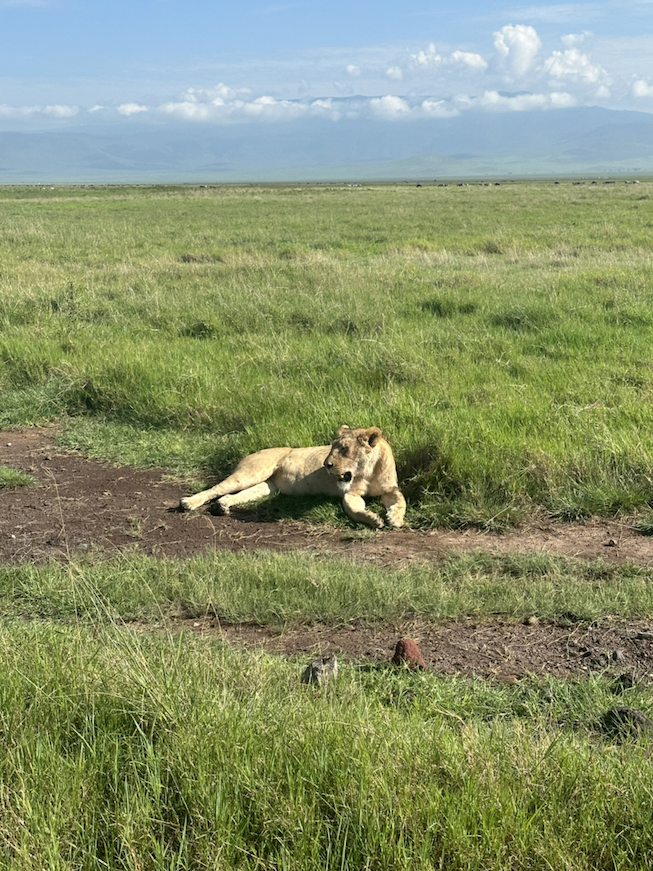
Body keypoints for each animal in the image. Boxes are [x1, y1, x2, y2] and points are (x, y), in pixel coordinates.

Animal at [178, 426, 402, 528]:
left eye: (345, 449)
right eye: (332, 447)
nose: (326, 464)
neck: (367, 471)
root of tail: (252, 452)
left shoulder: (391, 489)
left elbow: (400, 502)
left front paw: (395, 519)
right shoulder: (350, 493)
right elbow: (354, 510)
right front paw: (373, 519)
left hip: (267, 487)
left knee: (237, 495)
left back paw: (222, 506)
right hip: (250, 473)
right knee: (216, 488)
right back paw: (188, 502)